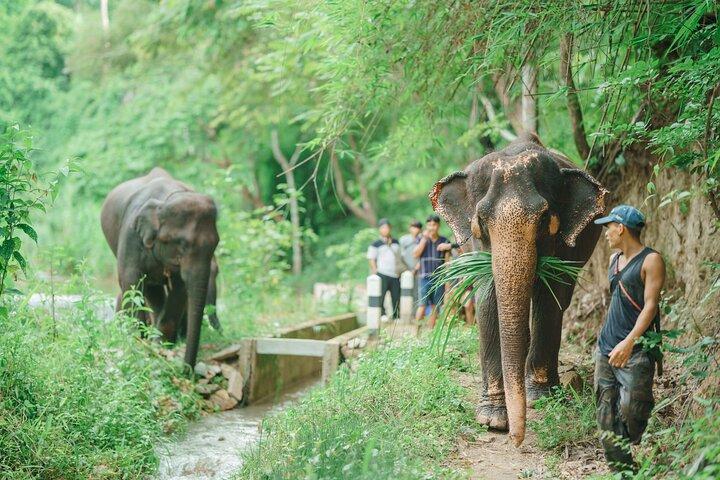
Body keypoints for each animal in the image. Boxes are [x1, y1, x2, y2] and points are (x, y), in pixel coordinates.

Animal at [101, 167, 220, 368]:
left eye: (216, 244)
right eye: (182, 244)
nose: (186, 370)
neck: (165, 202)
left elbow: (179, 289)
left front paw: (160, 346)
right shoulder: (131, 234)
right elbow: (130, 280)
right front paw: (135, 345)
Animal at [430, 134, 608, 446]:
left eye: (545, 218)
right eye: (480, 221)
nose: (516, 439)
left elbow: (549, 299)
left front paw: (542, 398)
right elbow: (487, 301)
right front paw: (492, 420)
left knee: (561, 298)